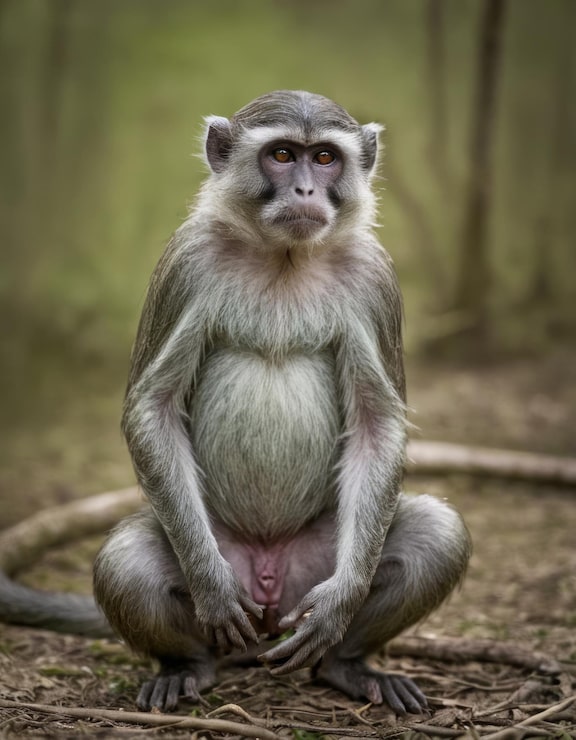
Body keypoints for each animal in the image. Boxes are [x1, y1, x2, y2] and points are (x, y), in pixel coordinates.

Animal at [1, 90, 471, 715]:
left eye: (325, 157)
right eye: (282, 155)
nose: (305, 190)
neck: (284, 257)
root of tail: (269, 587)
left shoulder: (375, 277)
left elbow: (377, 424)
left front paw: (340, 606)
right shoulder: (186, 262)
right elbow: (152, 407)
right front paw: (210, 586)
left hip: (309, 572)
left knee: (435, 535)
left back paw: (345, 663)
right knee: (129, 560)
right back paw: (189, 665)